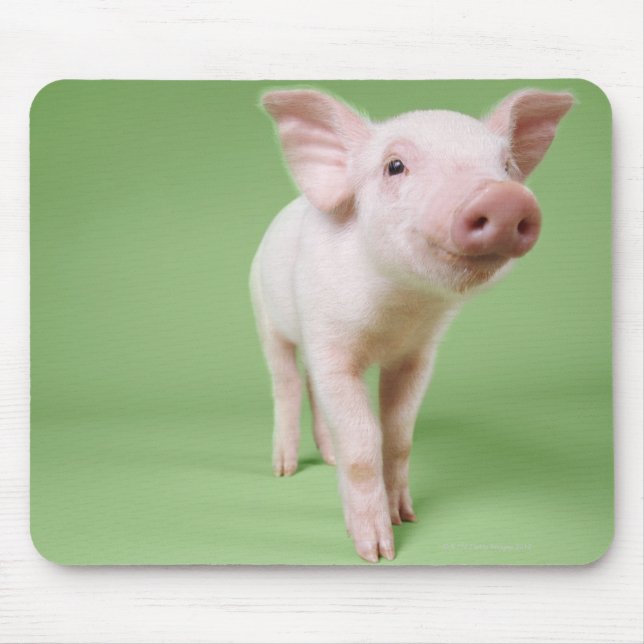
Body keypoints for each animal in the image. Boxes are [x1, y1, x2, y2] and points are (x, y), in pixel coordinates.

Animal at [250, 88, 573, 562]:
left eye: (506, 166)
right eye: (395, 165)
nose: (504, 197)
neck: (398, 310)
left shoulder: (418, 355)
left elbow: (399, 436)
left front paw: (406, 517)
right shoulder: (330, 343)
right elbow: (363, 442)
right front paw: (376, 552)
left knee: (310, 389)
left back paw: (328, 459)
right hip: (265, 314)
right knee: (286, 384)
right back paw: (285, 470)